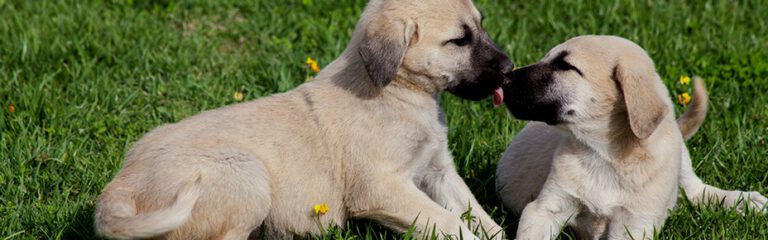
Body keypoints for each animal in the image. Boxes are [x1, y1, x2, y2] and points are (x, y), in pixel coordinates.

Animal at [496, 36, 764, 240]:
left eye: (565, 66)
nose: (504, 79)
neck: (604, 154)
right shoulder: (544, 208)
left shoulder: (633, 225)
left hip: (680, 160)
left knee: (697, 190)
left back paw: (744, 201)